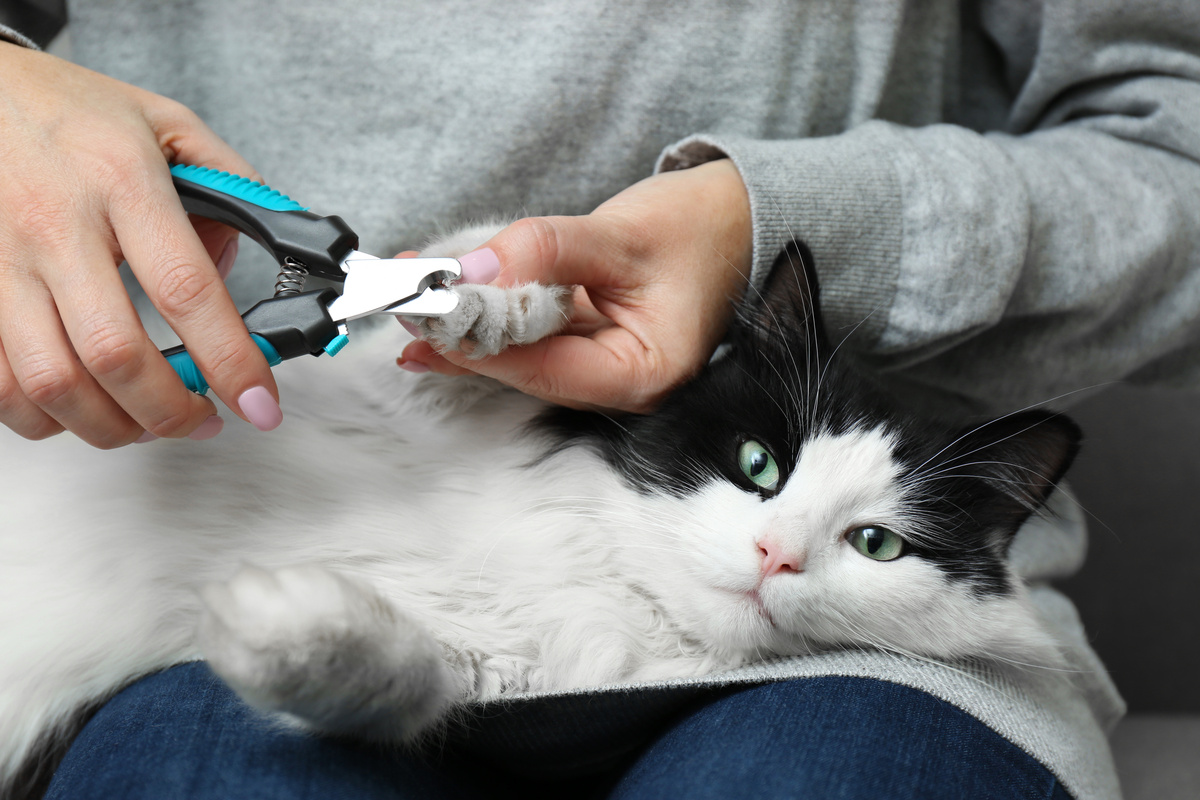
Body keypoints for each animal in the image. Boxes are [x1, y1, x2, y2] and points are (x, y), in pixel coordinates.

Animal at [0, 224, 1080, 796]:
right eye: (758, 465)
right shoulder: (417, 394)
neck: (600, 572)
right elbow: (485, 280)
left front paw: (275, 624)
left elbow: (377, 676)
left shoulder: (481, 679)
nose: (775, 553)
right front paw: (484, 306)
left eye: (876, 544)